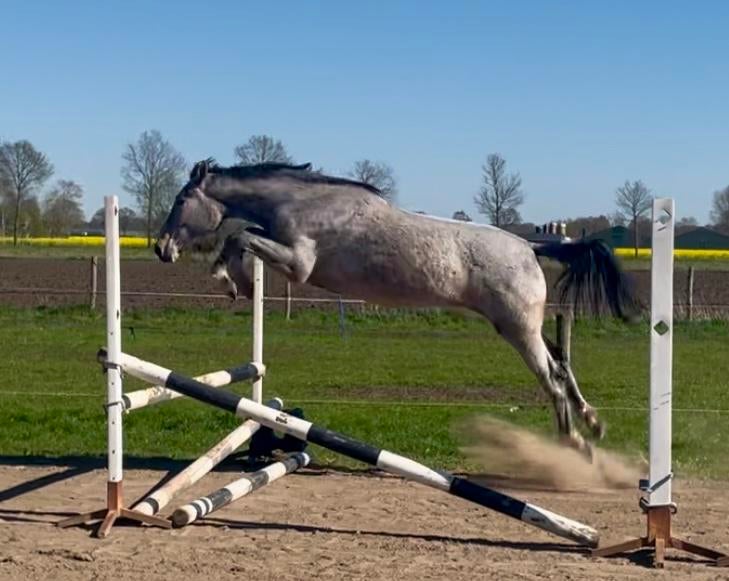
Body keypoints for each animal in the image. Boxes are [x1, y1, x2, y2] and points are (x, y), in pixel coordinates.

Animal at [155, 159, 639, 455]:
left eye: (180, 200)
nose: (161, 249)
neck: (304, 203)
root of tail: (530, 246)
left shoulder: (298, 264)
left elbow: (238, 236)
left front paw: (226, 278)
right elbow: (244, 236)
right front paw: (235, 281)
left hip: (518, 330)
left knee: (551, 377)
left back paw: (576, 443)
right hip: (524, 328)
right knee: (562, 363)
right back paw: (593, 422)